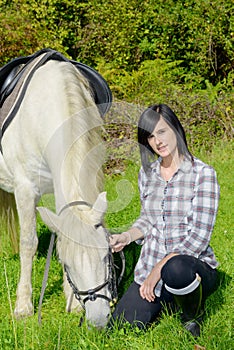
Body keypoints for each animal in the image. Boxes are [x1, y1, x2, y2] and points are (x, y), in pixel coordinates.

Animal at [0, 53, 112, 326]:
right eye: (68, 264)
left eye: (107, 257)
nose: (98, 319)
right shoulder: (24, 189)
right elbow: (28, 243)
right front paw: (23, 306)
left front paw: (72, 302)